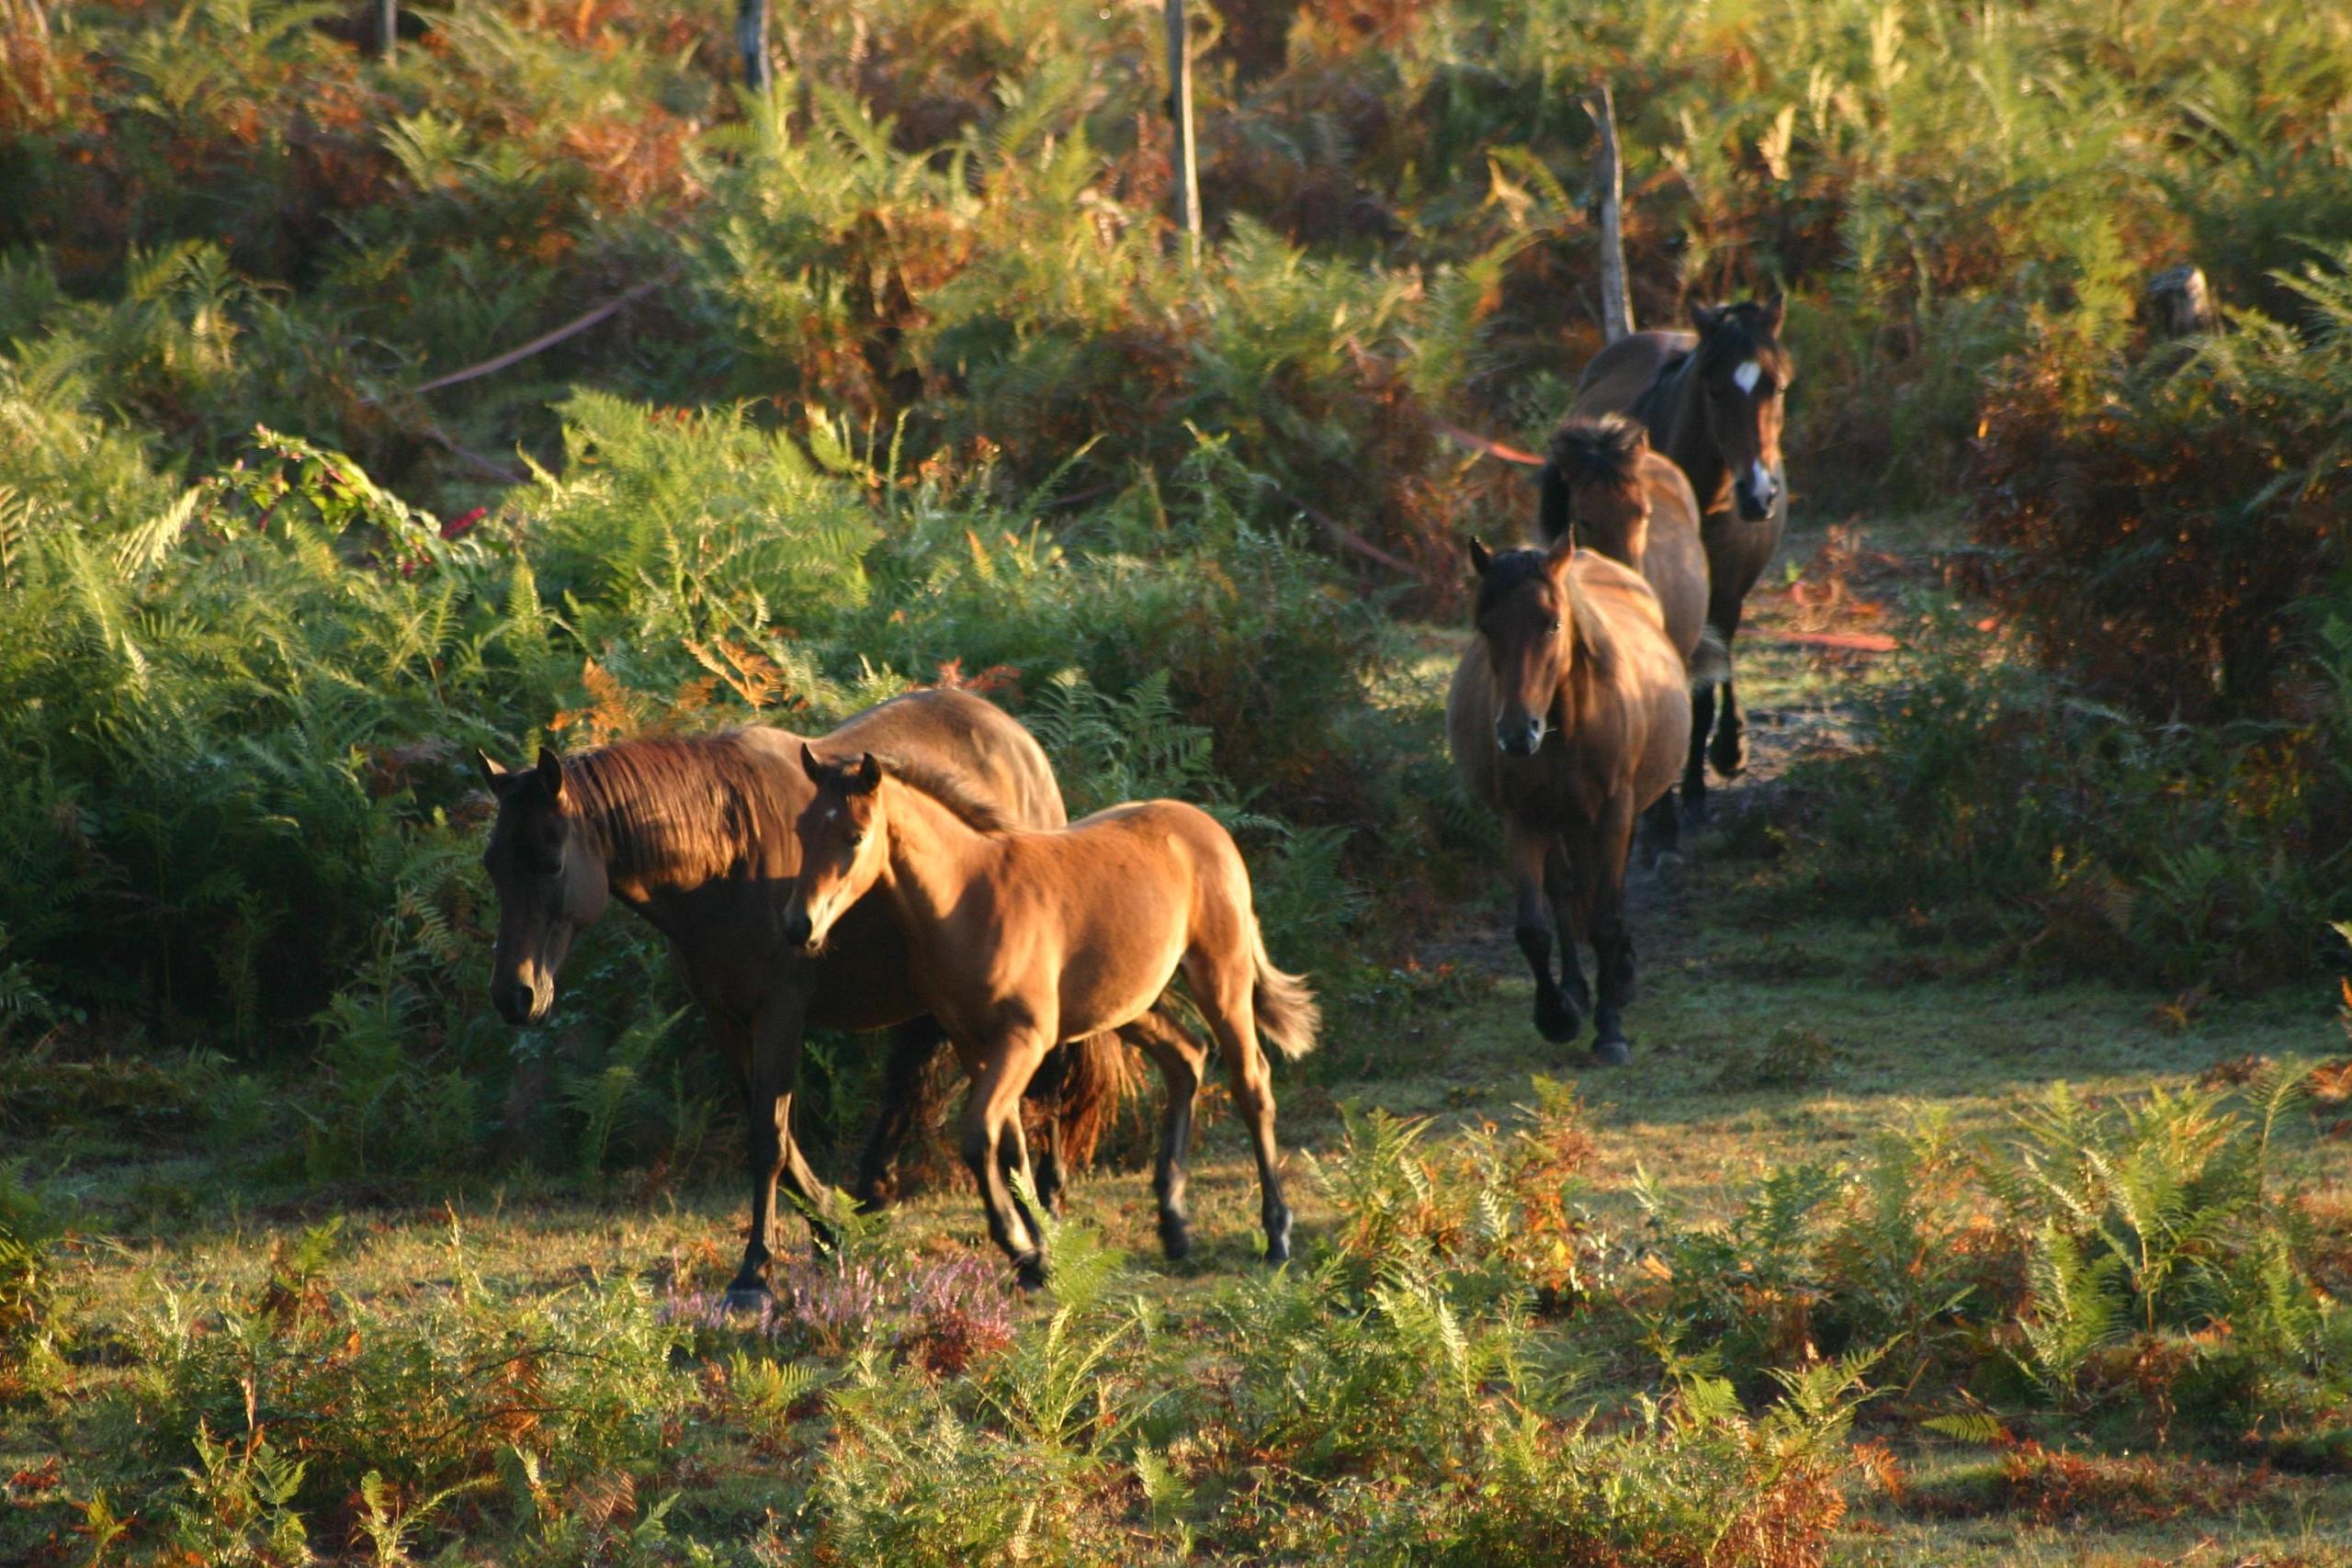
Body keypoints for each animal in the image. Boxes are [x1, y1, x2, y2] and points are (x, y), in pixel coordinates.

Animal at [472, 691, 1176, 1306]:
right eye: (492, 865)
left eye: (551, 862)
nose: (515, 995)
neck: (727, 859)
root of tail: (1015, 736)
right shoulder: (727, 1016)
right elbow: (778, 1135)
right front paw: (834, 1224)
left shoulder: (781, 1010)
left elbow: (769, 1137)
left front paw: (755, 1275)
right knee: (913, 1083)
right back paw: (880, 1197)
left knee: (1047, 1079)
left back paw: (1047, 1205)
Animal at [780, 751, 1317, 1288]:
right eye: (801, 829)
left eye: (854, 835)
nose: (799, 926)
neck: (968, 900)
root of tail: (1208, 827)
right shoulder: (971, 1041)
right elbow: (1011, 1145)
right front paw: (1040, 1252)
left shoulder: (1024, 1038)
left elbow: (979, 1136)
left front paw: (1023, 1249)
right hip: (1127, 1002)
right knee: (1186, 1058)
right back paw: (1175, 1227)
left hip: (1221, 977)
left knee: (1252, 1085)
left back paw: (1276, 1236)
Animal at [1448, 533, 1693, 1062]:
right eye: (1486, 626)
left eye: (1553, 623)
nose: (1517, 734)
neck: (1569, 724)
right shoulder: (1522, 820)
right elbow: (1533, 928)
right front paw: (1556, 1014)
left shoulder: (1613, 813)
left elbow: (1604, 918)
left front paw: (1611, 1029)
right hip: (1560, 820)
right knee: (1564, 889)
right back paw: (1577, 990)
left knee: (1606, 892)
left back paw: (1619, 978)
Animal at [1580, 292, 1796, 822]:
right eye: (1712, 389)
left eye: (1778, 387)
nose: (1758, 495)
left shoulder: (1725, 596)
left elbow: (1703, 691)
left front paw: (1697, 787)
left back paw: (1729, 749)